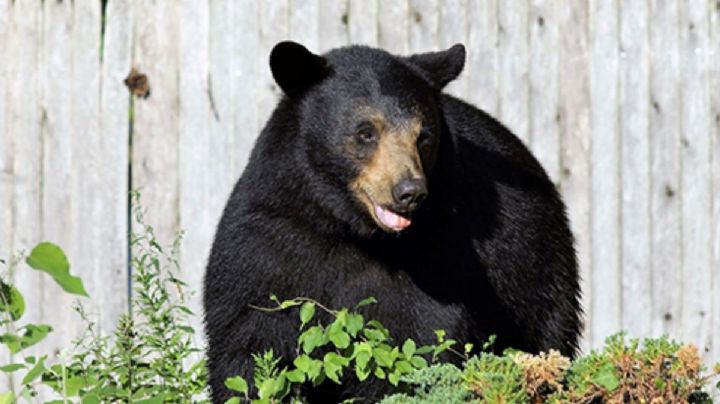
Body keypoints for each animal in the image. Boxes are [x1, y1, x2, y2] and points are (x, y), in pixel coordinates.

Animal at [204, 41, 584, 404]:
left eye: (424, 137)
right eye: (366, 132)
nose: (409, 191)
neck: (348, 227)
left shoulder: (438, 258)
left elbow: (418, 343)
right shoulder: (269, 242)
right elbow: (248, 345)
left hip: (535, 266)